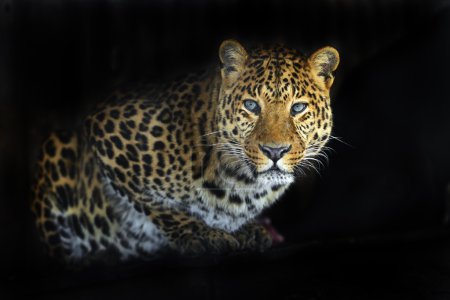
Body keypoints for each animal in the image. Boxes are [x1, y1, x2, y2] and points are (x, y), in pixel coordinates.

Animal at [31, 40, 340, 264]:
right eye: (252, 105)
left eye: (298, 108)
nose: (275, 151)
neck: (243, 183)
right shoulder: (105, 128)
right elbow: (157, 205)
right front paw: (201, 235)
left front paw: (245, 230)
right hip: (55, 150)